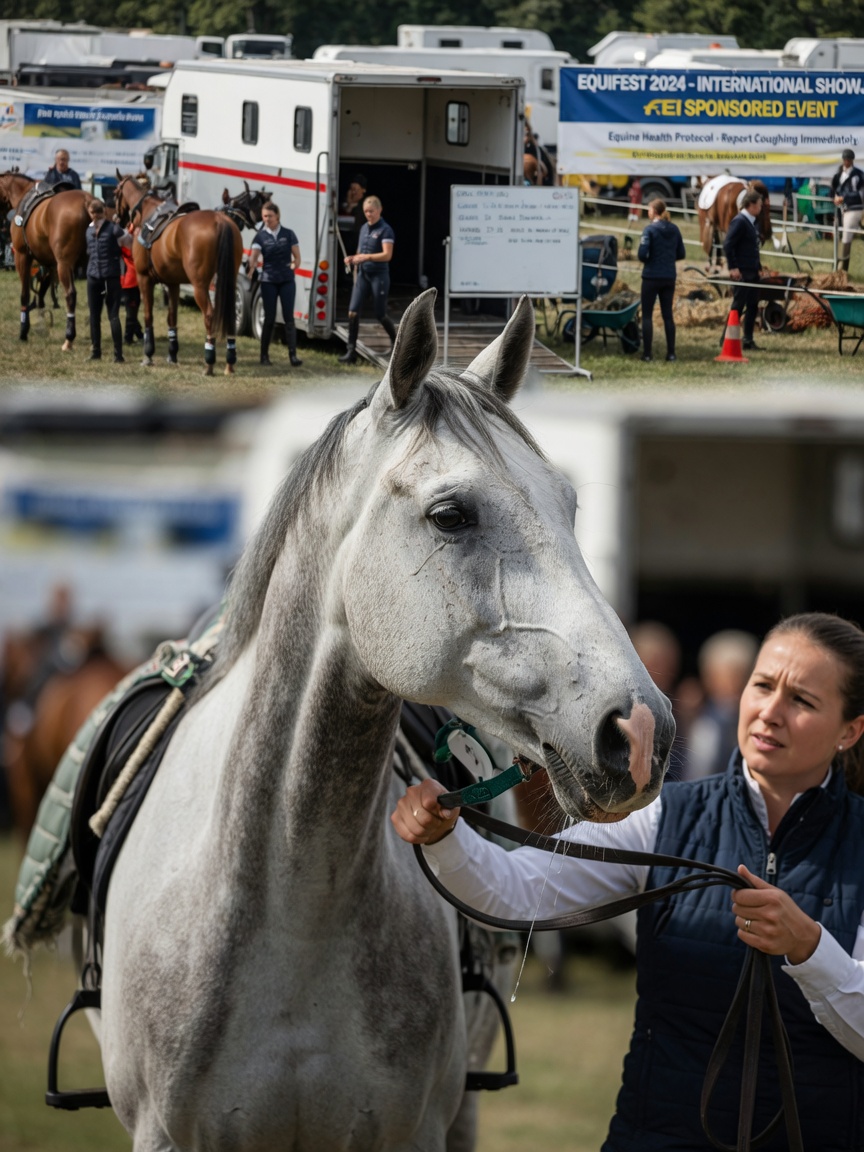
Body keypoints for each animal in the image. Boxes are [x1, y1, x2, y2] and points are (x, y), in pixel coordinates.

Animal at [0, 171, 91, 349]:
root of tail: (87, 203)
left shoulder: (22, 256)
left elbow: (25, 294)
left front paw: (24, 330)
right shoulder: (50, 263)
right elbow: (41, 294)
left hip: (65, 264)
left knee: (70, 294)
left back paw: (69, 337)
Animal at [113, 172, 242, 376]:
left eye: (114, 192)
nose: (117, 219)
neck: (148, 211)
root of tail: (220, 221)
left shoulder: (144, 278)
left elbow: (148, 316)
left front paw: (148, 354)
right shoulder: (173, 283)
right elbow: (172, 317)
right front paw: (172, 354)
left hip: (200, 285)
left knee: (209, 315)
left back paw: (209, 362)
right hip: (229, 279)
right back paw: (229, 363)